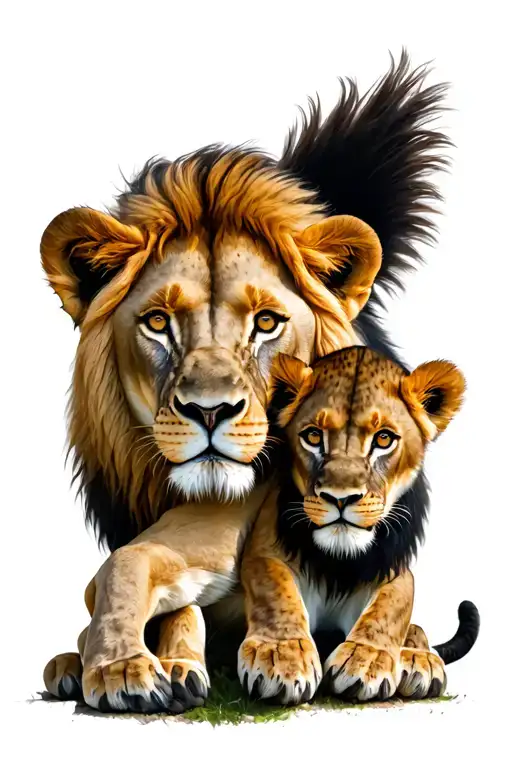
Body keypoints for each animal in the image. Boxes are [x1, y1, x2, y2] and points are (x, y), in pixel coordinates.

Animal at [41, 53, 451, 712]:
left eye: (266, 323)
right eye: (158, 322)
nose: (211, 411)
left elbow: (396, 589)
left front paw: (381, 653)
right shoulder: (188, 546)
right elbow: (126, 570)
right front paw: (125, 666)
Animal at [237, 347, 479, 704]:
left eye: (384, 439)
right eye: (313, 436)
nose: (340, 498)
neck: (340, 563)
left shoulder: (392, 569)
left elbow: (392, 604)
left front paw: (367, 659)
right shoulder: (265, 552)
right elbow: (274, 588)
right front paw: (281, 656)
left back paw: (420, 661)